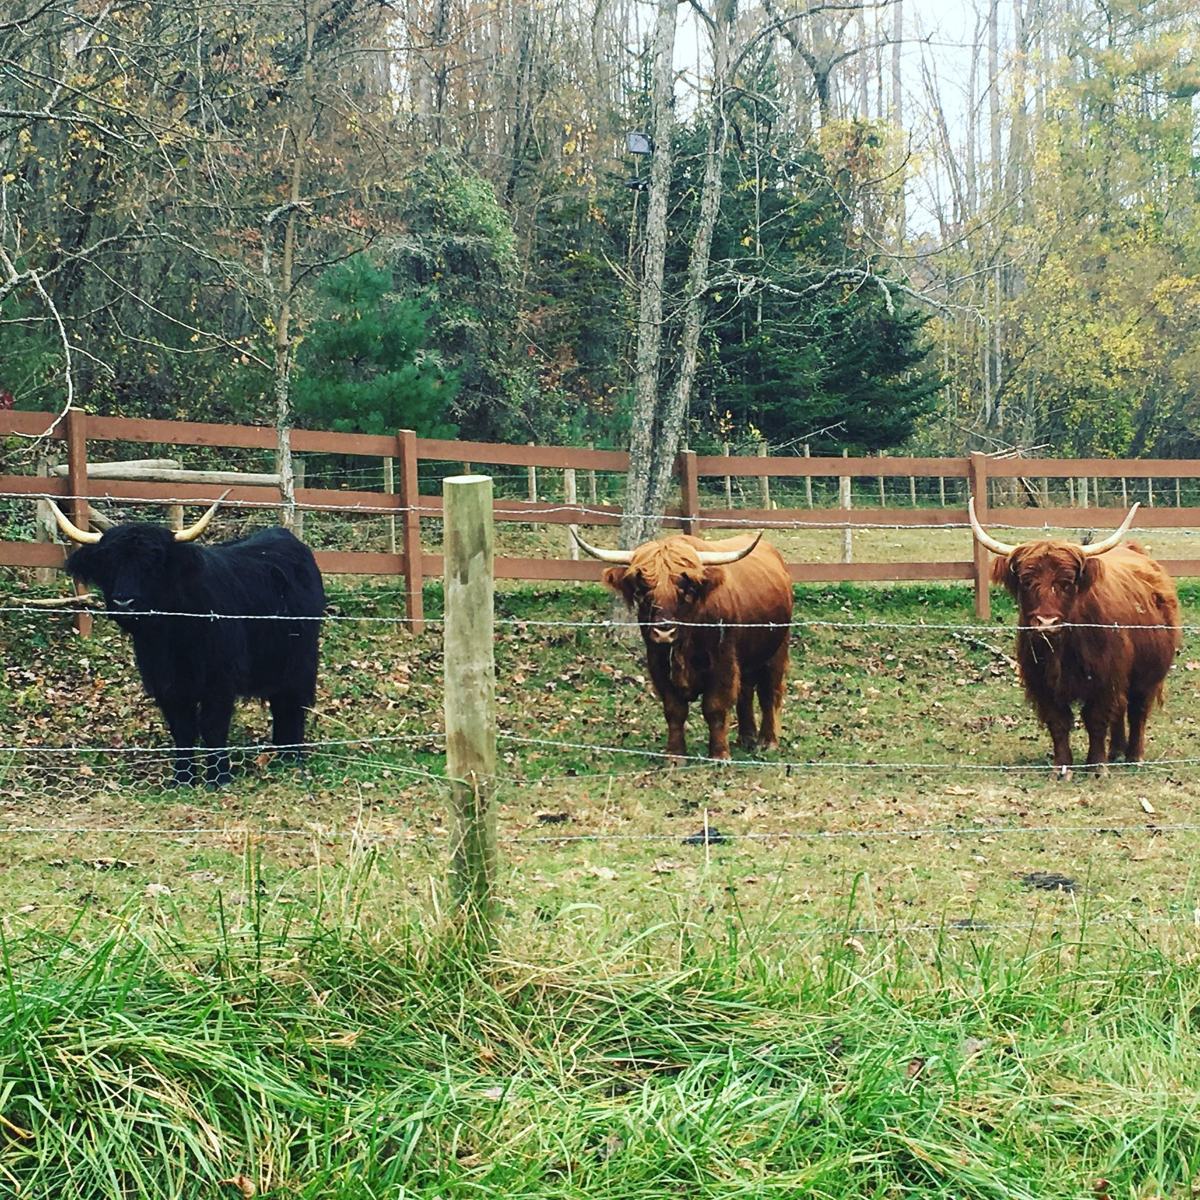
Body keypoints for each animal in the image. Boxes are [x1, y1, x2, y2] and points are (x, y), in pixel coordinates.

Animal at [45, 497, 325, 787]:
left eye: (153, 562)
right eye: (109, 563)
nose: (124, 602)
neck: (172, 635)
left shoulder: (220, 681)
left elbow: (212, 726)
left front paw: (218, 777)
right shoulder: (166, 684)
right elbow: (182, 729)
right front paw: (183, 778)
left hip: (301, 660)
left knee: (292, 704)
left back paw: (291, 756)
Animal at [571, 526, 793, 761]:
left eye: (686, 590)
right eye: (643, 591)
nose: (664, 631)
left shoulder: (722, 663)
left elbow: (715, 707)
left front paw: (719, 755)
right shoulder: (658, 665)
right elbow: (674, 710)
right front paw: (675, 755)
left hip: (776, 651)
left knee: (769, 692)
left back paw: (767, 742)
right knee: (746, 691)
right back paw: (747, 738)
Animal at [969, 498, 1180, 772]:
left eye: (1067, 582)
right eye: (1027, 581)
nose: (1046, 622)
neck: (1063, 648)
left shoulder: (1105, 678)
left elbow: (1096, 719)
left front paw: (1097, 766)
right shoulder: (1042, 682)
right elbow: (1058, 722)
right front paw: (1062, 768)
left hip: (1148, 672)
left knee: (1137, 709)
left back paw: (1134, 756)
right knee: (1122, 706)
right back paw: (1116, 752)